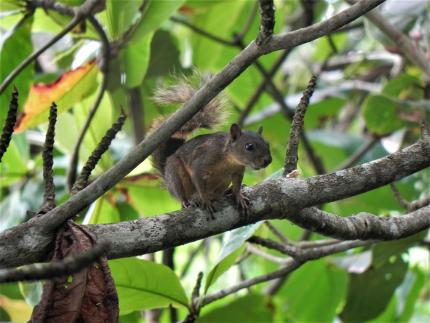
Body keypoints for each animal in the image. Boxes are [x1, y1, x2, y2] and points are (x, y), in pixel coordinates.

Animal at [151, 76, 272, 218]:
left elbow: (237, 185)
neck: (229, 160)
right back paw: (189, 201)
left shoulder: (238, 170)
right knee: (182, 193)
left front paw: (239, 196)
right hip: (175, 173)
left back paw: (227, 192)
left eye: (267, 144)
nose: (268, 160)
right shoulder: (204, 160)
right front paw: (206, 201)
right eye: (249, 146)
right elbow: (199, 180)